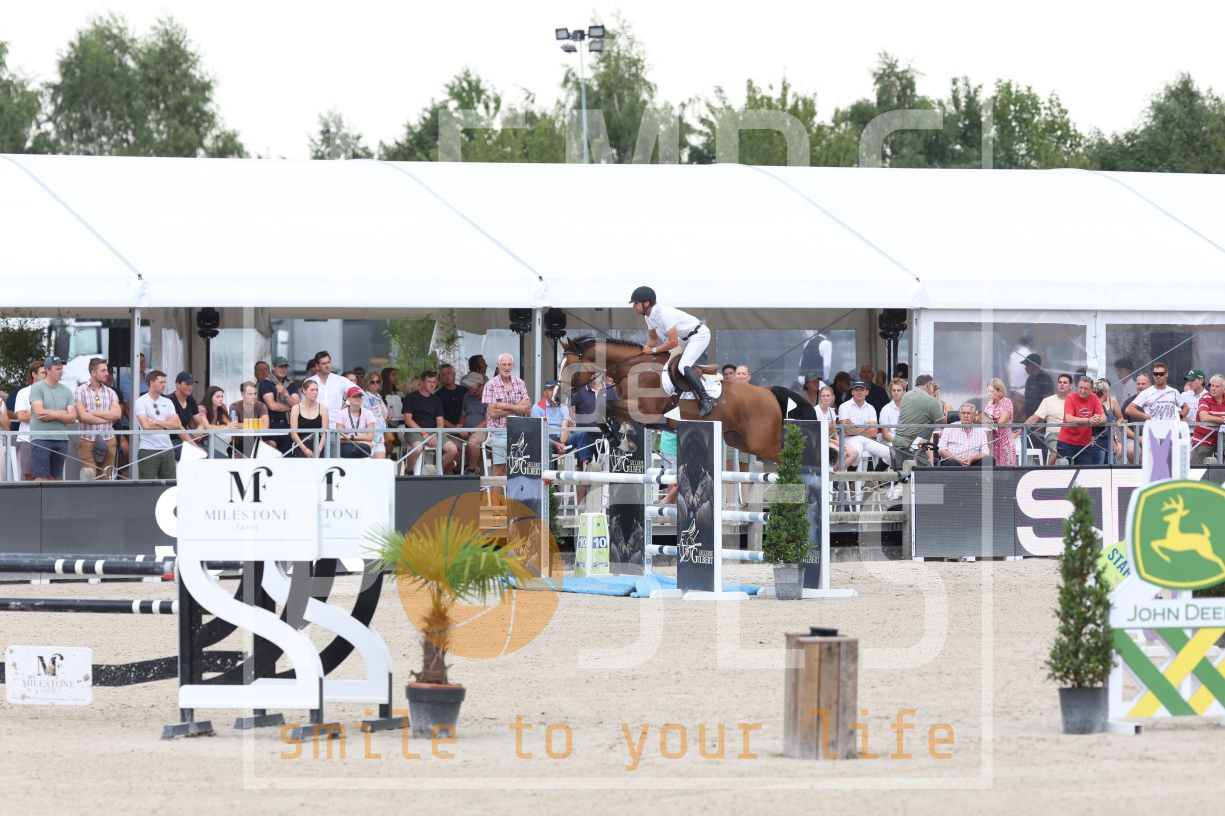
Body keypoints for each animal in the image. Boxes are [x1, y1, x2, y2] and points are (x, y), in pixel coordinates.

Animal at [560, 336, 807, 463]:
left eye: (569, 366)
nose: (559, 394)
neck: (633, 369)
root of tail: (767, 391)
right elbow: (605, 411)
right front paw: (619, 439)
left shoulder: (643, 411)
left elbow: (605, 404)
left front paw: (618, 438)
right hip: (738, 440)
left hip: (762, 443)